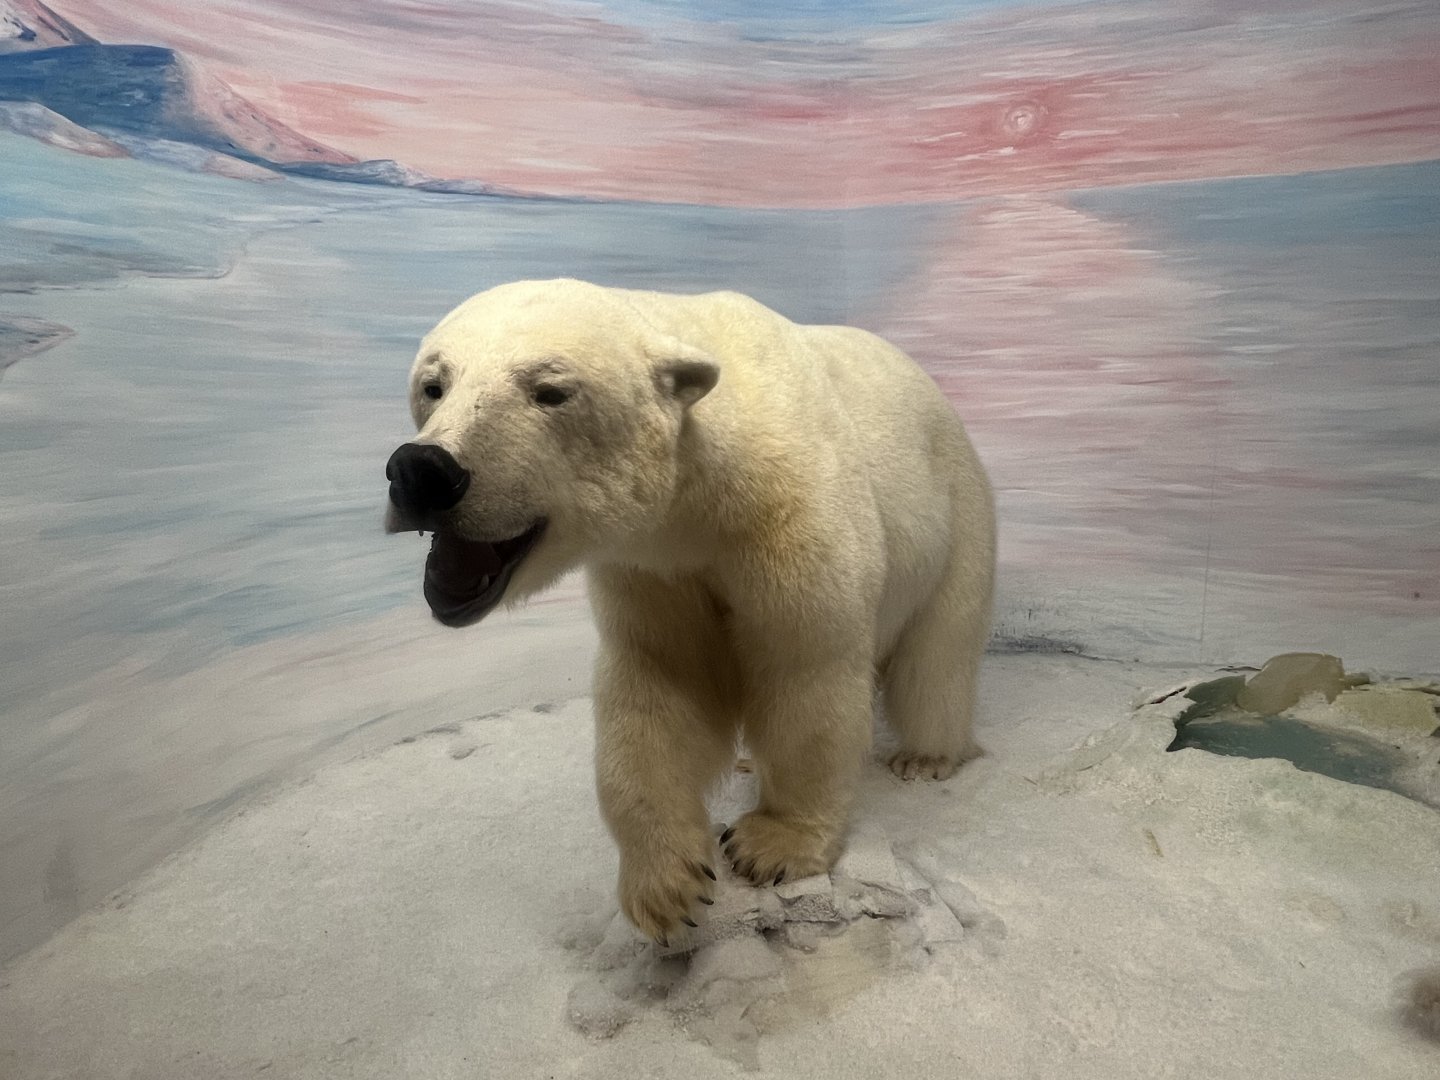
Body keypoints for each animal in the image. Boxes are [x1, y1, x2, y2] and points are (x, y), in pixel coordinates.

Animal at [384, 278, 995, 942]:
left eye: (550, 390)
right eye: (433, 383)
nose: (422, 471)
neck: (705, 497)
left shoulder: (789, 517)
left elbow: (807, 669)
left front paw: (771, 845)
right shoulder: (654, 568)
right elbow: (663, 684)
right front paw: (665, 886)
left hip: (957, 515)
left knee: (938, 654)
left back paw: (925, 755)